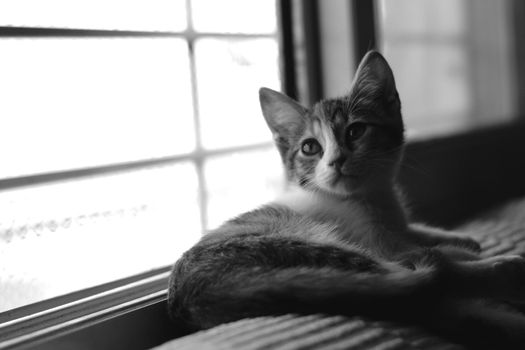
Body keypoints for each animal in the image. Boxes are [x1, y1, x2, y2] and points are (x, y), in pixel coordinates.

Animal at [167, 50, 524, 348]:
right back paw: (498, 271)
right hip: (311, 246)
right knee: (427, 279)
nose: (336, 160)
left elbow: (413, 230)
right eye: (310, 147)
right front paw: (465, 252)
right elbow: (416, 252)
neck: (368, 199)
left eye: (355, 131)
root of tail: (197, 296)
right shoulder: (382, 244)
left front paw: (457, 237)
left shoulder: (394, 223)